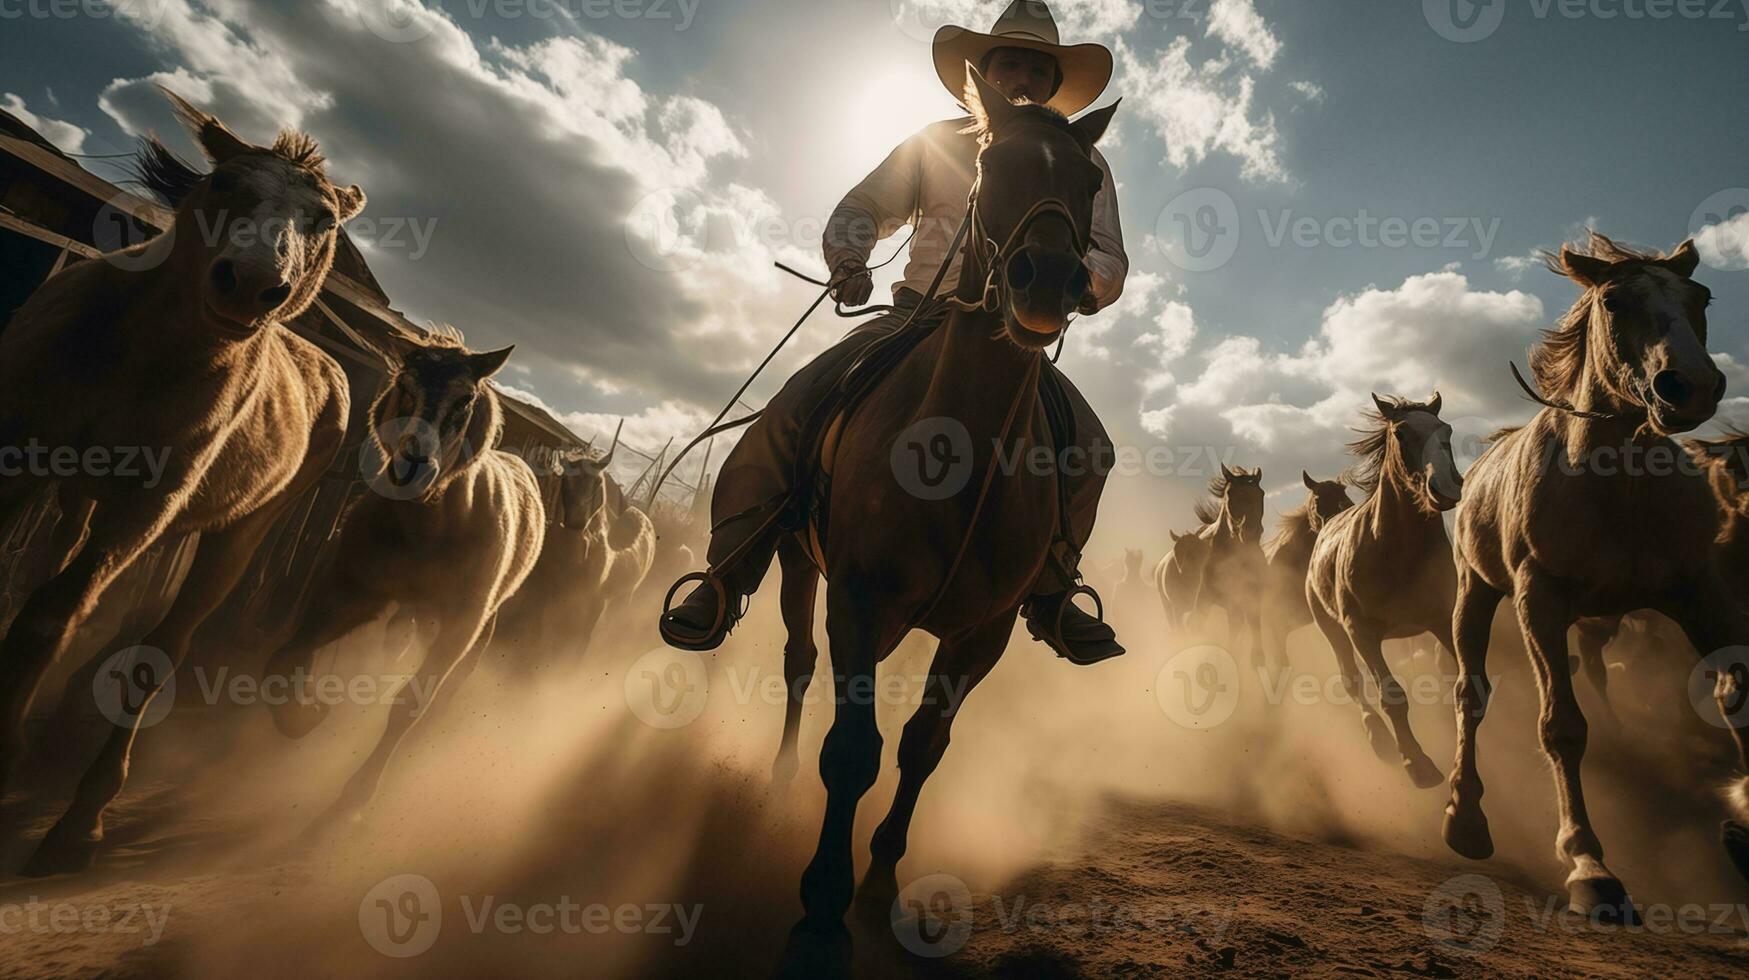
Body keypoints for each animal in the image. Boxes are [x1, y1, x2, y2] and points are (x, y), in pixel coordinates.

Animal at [0, 90, 362, 871]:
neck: (138, 354)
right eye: (225, 182)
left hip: (236, 538)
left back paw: (83, 815)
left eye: (323, 222)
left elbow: (52, 613)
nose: (252, 285)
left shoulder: (147, 506)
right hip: (79, 500)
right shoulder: (16, 454)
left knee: (163, 645)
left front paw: (9, 745)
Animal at [258, 327, 542, 826]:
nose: (412, 466)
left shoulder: (461, 623)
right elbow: (284, 657)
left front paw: (357, 794)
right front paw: (305, 715)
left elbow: (412, 703)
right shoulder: (352, 592)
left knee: (453, 682)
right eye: (405, 385)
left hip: (481, 621)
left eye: (465, 400)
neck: (432, 523)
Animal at [1315, 393, 1462, 784]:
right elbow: (1391, 695)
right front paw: (1417, 763)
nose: (1446, 486)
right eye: (1401, 433)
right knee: (1352, 681)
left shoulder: (1444, 621)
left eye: (1447, 430)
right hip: (1332, 629)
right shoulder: (1361, 632)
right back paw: (1379, 739)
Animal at [1448, 232, 1749, 924]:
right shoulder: (1539, 600)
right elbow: (1562, 725)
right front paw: (1590, 866)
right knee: (1471, 694)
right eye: (1614, 301)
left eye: (1701, 297)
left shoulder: (1702, 593)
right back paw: (1466, 818)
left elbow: (1737, 693)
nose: (1689, 386)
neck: (1618, 486)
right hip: (1474, 595)